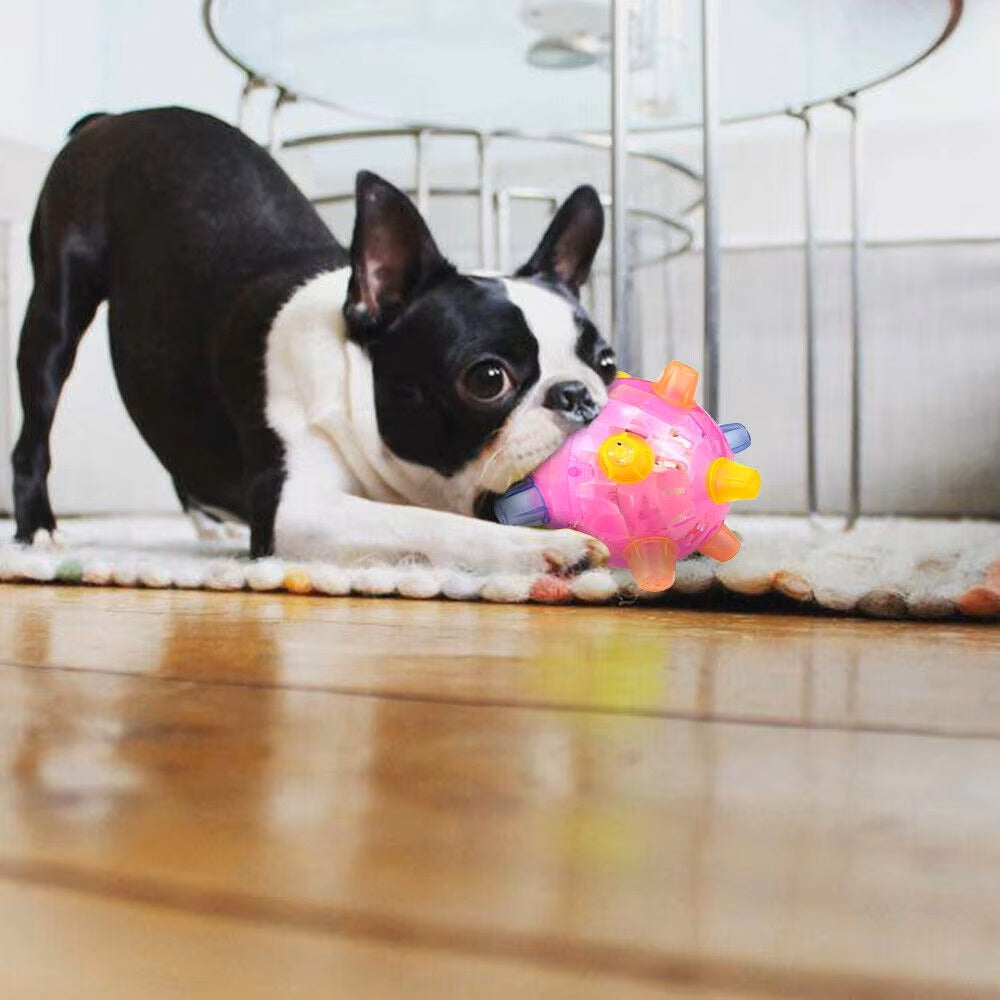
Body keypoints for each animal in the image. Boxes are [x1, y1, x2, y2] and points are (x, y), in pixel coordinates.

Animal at [11, 105, 616, 576]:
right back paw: (37, 530)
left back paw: (208, 525)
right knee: (34, 427)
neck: (354, 383)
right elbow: (429, 522)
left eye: (606, 363)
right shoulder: (293, 509)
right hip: (55, 310)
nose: (579, 396)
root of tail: (116, 118)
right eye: (488, 378)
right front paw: (540, 547)